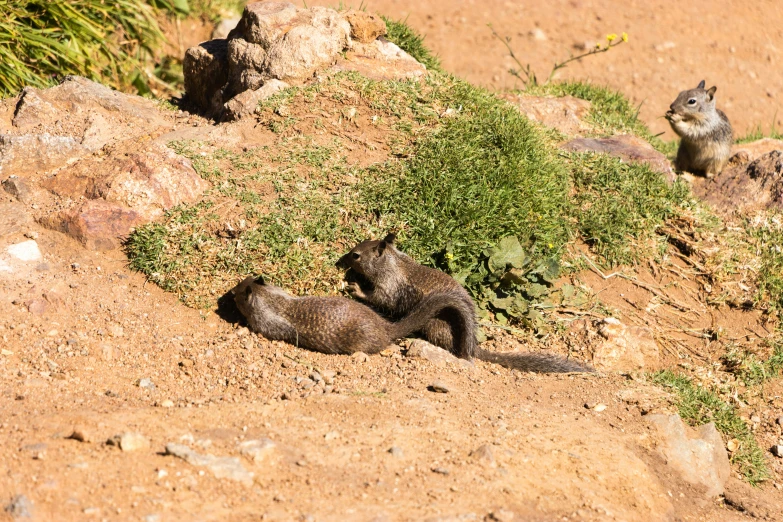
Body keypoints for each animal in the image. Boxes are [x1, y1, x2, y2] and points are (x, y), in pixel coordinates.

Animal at [230, 272, 474, 354]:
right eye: (245, 279)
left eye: (239, 293)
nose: (230, 292)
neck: (270, 299)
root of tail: (386, 328)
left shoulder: (267, 324)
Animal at [336, 234, 596, 372]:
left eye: (356, 255)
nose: (342, 260)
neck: (394, 263)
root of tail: (472, 346)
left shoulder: (387, 288)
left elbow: (379, 299)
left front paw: (356, 288)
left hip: (435, 326)